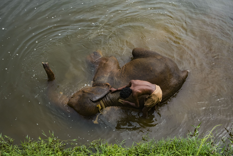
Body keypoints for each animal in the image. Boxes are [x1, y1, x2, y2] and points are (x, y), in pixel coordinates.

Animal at [42, 48, 187, 116]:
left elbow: (110, 58)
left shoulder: (104, 75)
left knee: (135, 50)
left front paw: (92, 55)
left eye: (75, 96)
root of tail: (182, 73)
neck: (105, 101)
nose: (45, 64)